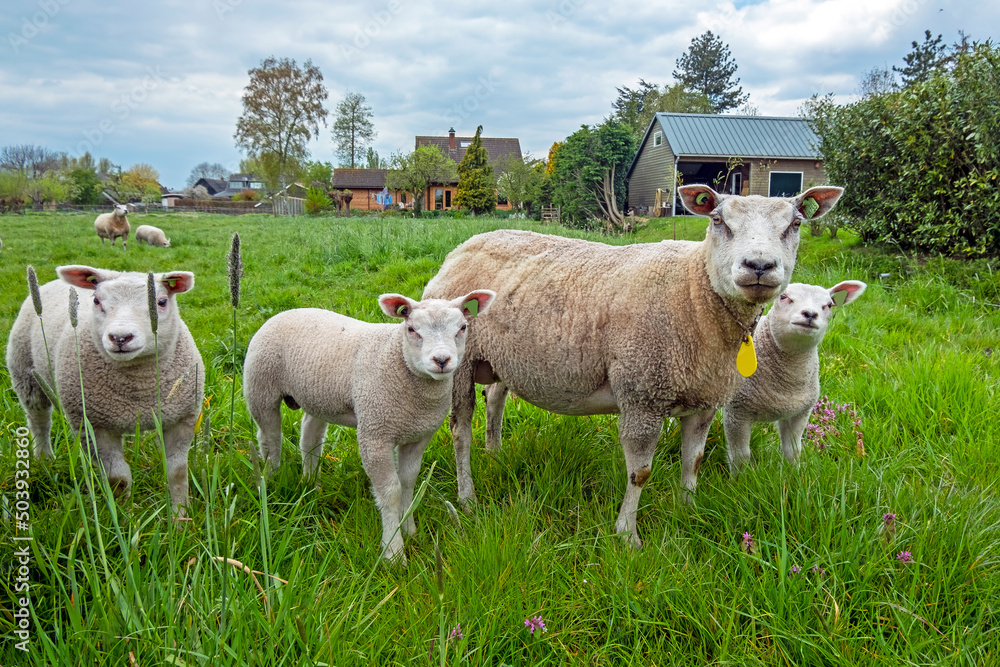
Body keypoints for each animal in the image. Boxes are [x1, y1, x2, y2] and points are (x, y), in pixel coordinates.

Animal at [6, 266, 204, 515]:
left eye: (161, 302)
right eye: (96, 301)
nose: (120, 337)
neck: (140, 386)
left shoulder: (182, 419)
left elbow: (177, 472)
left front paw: (180, 516)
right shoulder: (93, 427)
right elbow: (118, 479)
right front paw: (126, 516)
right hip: (25, 374)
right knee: (39, 421)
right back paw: (44, 458)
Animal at [243, 290, 496, 564]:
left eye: (462, 327)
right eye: (411, 329)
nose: (441, 360)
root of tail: (288, 311)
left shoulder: (418, 436)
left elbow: (408, 482)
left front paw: (409, 529)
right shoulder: (375, 434)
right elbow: (390, 491)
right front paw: (393, 552)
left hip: (317, 397)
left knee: (310, 437)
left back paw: (311, 483)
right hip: (261, 388)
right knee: (270, 439)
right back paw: (271, 480)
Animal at [422, 183, 844, 547]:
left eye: (795, 224)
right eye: (718, 220)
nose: (759, 265)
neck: (694, 291)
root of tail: (460, 249)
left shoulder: (705, 401)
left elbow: (694, 460)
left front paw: (687, 509)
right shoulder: (643, 393)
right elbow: (640, 472)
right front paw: (628, 536)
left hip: (503, 358)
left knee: (495, 397)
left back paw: (496, 454)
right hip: (460, 365)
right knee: (460, 430)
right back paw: (467, 497)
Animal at [723, 280, 867, 471]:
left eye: (828, 305)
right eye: (784, 296)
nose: (810, 314)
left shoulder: (800, 413)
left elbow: (793, 450)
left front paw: (794, 473)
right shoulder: (737, 412)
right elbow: (740, 456)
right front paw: (741, 478)